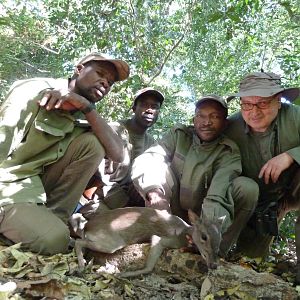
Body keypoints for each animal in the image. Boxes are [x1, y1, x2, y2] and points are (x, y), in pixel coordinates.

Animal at [72, 206, 223, 276]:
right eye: (204, 236)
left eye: (220, 237)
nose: (214, 265)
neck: (184, 232)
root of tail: (87, 227)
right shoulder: (162, 239)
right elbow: (149, 267)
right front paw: (124, 274)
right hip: (112, 243)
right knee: (78, 242)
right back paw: (81, 266)